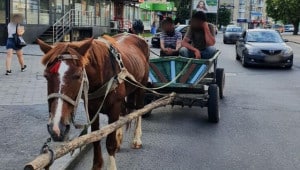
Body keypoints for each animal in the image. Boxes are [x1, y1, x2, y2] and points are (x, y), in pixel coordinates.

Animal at [37, 33, 150, 170]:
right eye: (46, 76)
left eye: (78, 76)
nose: (57, 128)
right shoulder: (91, 109)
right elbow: (95, 138)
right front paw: (97, 164)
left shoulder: (114, 107)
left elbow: (110, 142)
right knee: (124, 113)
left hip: (141, 86)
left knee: (139, 109)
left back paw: (137, 139)